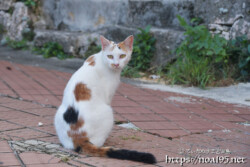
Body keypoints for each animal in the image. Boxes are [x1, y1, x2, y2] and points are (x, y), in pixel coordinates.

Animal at [54, 35, 156, 164]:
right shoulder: (108, 94)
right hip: (108, 112)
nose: (116, 64)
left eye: (122, 56)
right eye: (110, 56)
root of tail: (78, 136)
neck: (101, 58)